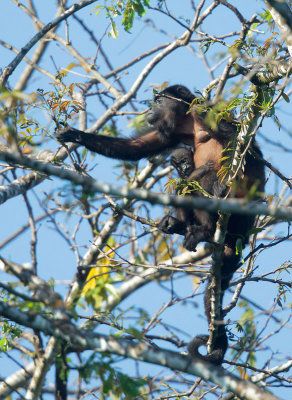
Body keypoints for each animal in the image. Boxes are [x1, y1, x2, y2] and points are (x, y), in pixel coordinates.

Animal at [56, 85, 266, 366]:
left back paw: (207, 222)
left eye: (158, 100)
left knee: (208, 178)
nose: (149, 108)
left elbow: (240, 144)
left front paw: (222, 184)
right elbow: (137, 147)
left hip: (239, 217)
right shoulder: (172, 131)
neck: (190, 124)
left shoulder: (205, 111)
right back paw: (182, 226)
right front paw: (75, 135)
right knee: (185, 188)